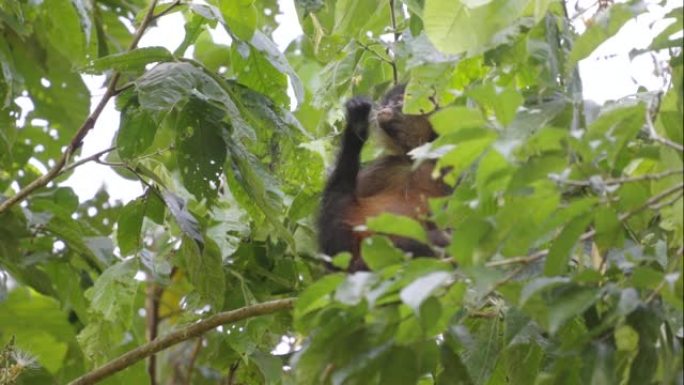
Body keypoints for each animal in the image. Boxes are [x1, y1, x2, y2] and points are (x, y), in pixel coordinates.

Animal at [320, 84, 452, 270]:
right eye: (387, 101)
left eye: (399, 101)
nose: (386, 106)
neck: (413, 160)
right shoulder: (386, 165)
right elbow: (331, 252)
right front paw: (357, 123)